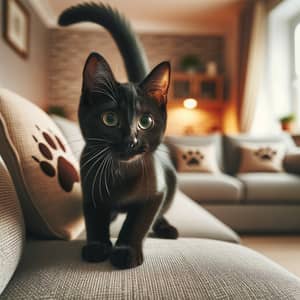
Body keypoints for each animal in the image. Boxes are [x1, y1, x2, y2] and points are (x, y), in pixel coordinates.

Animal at [58, 2, 178, 270]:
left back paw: (166, 227)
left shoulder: (156, 192)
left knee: (161, 213)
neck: (121, 173)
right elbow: (94, 217)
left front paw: (125, 251)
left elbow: (137, 222)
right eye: (110, 119)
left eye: (145, 121)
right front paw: (97, 246)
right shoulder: (89, 187)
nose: (130, 141)